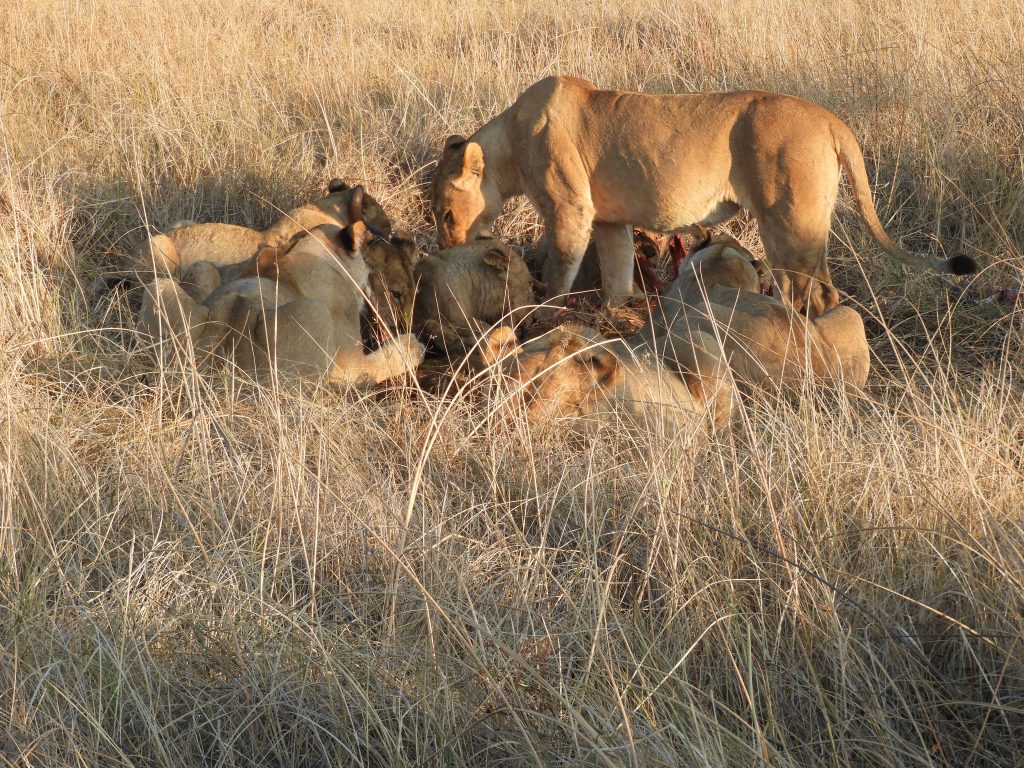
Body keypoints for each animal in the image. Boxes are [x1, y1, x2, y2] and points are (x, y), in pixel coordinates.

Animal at [139, 187, 424, 388]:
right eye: (386, 226)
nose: (392, 240)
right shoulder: (348, 360)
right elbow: (380, 363)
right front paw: (412, 345)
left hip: (167, 286)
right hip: (313, 314)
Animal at [431, 76, 976, 318]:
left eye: (445, 212)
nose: (445, 250)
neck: (510, 142)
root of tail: (829, 118)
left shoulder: (570, 211)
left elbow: (559, 272)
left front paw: (541, 316)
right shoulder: (608, 221)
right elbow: (617, 272)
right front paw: (615, 315)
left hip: (788, 223)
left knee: (814, 291)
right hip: (801, 225)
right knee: (819, 288)